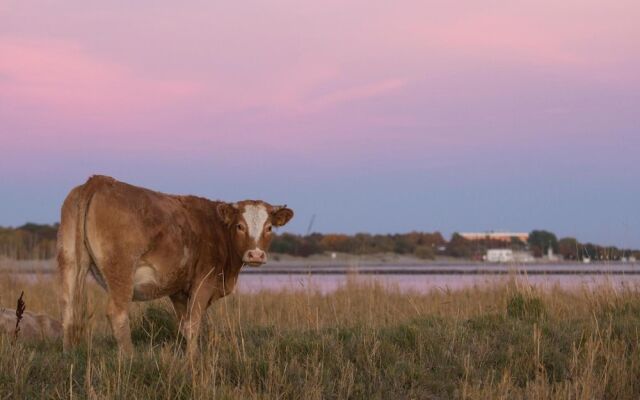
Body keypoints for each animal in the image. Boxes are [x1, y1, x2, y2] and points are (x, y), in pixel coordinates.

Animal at [57, 175, 292, 354]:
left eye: (269, 227)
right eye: (240, 226)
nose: (256, 255)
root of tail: (98, 180)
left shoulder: (179, 291)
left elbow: (184, 325)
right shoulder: (203, 282)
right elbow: (194, 324)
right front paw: (193, 359)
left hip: (69, 262)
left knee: (68, 309)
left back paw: (69, 356)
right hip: (121, 270)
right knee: (117, 313)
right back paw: (129, 358)